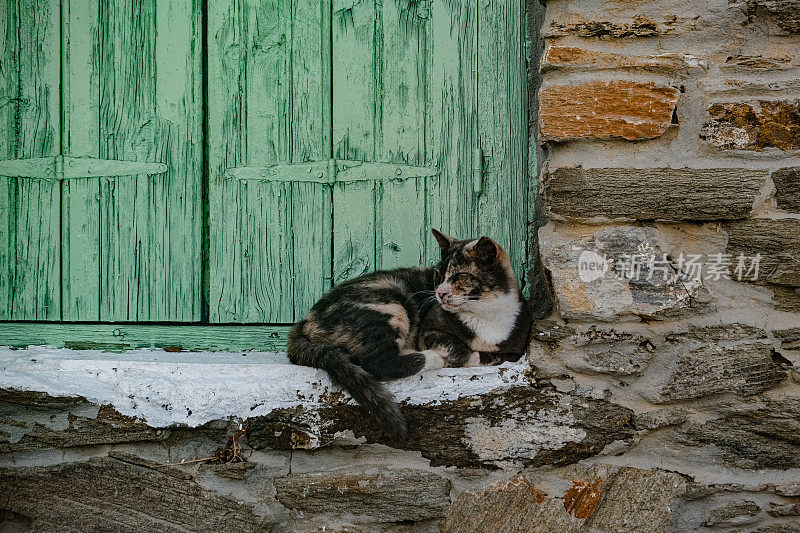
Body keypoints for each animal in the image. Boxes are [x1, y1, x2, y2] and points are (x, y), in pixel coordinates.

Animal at [288, 229, 532, 440]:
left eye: (461, 276)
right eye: (438, 274)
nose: (439, 293)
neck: (485, 313)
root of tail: (304, 322)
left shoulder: (517, 345)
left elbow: (497, 355)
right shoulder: (428, 331)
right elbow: (460, 349)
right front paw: (455, 356)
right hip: (392, 302)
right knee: (375, 363)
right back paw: (430, 358)